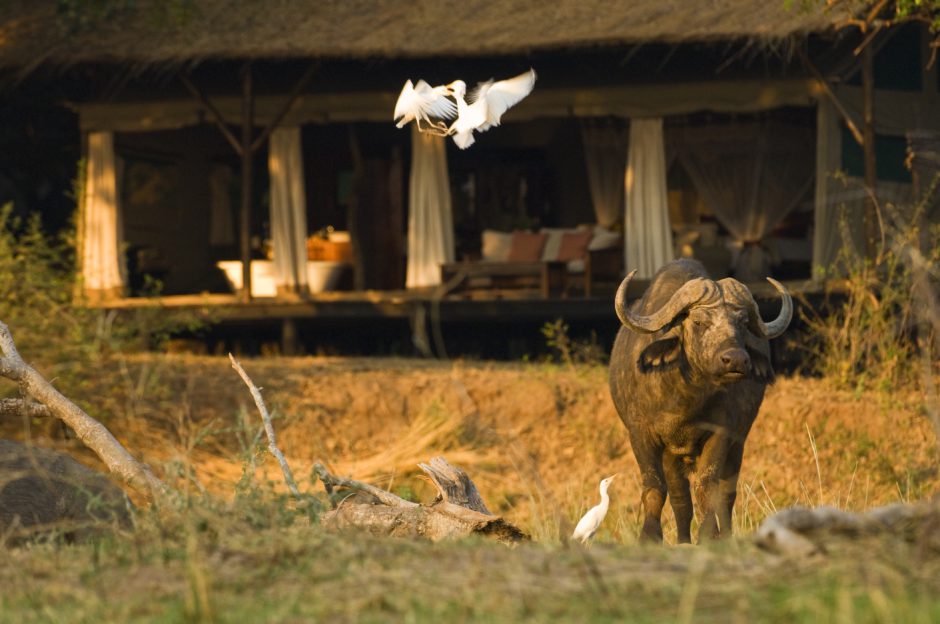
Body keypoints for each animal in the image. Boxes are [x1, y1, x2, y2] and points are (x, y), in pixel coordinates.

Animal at [612, 258, 788, 540]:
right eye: (698, 322)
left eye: (742, 322)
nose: (736, 360)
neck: (684, 402)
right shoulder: (640, 434)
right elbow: (655, 487)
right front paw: (650, 535)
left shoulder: (722, 434)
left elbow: (707, 488)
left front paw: (709, 534)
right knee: (679, 496)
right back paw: (683, 538)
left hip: (738, 445)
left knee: (726, 493)